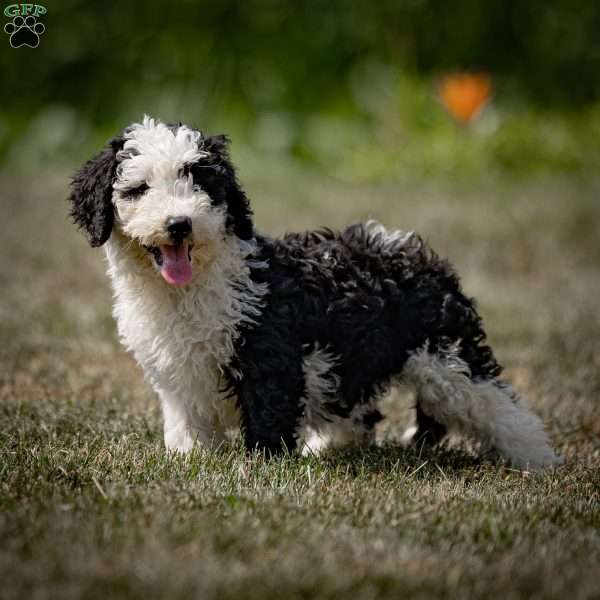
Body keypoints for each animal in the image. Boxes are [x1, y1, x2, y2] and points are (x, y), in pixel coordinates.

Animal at [70, 113, 564, 468]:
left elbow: (268, 412)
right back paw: (328, 445)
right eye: (138, 189)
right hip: (351, 357)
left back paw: (539, 461)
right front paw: (188, 460)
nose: (178, 224)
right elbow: (186, 424)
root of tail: (406, 246)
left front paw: (263, 466)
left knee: (496, 404)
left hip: (447, 354)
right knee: (359, 408)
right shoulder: (176, 375)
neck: (189, 287)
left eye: (200, 181)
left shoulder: (269, 354)